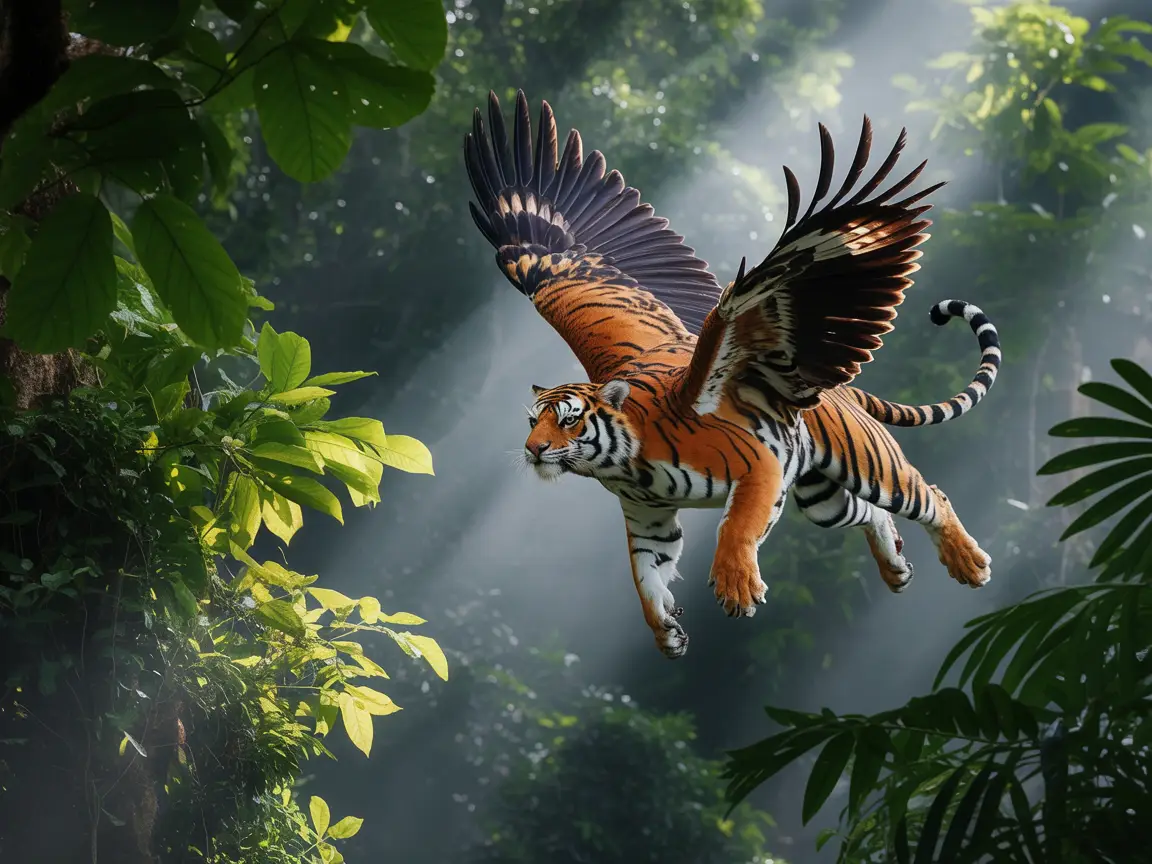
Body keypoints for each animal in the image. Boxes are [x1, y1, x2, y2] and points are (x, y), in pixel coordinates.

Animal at [463, 90, 1000, 658]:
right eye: (532, 422)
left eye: (567, 420)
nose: (534, 450)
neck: (622, 464)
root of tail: (837, 389)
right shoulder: (648, 519)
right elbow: (644, 577)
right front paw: (664, 631)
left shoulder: (760, 467)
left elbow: (735, 529)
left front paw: (736, 586)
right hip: (822, 496)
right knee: (869, 513)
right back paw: (895, 567)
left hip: (868, 464)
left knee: (930, 496)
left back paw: (969, 564)